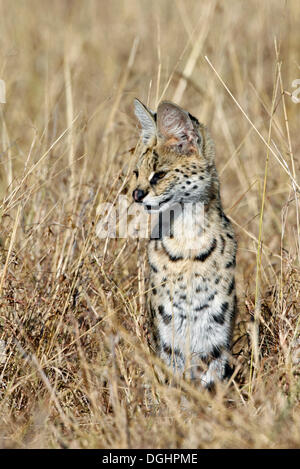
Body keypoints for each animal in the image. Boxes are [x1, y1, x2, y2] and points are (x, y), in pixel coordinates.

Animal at [132, 98, 238, 388]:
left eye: (159, 175)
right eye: (136, 172)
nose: (135, 194)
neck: (187, 237)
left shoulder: (214, 330)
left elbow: (210, 379)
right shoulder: (169, 330)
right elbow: (174, 378)